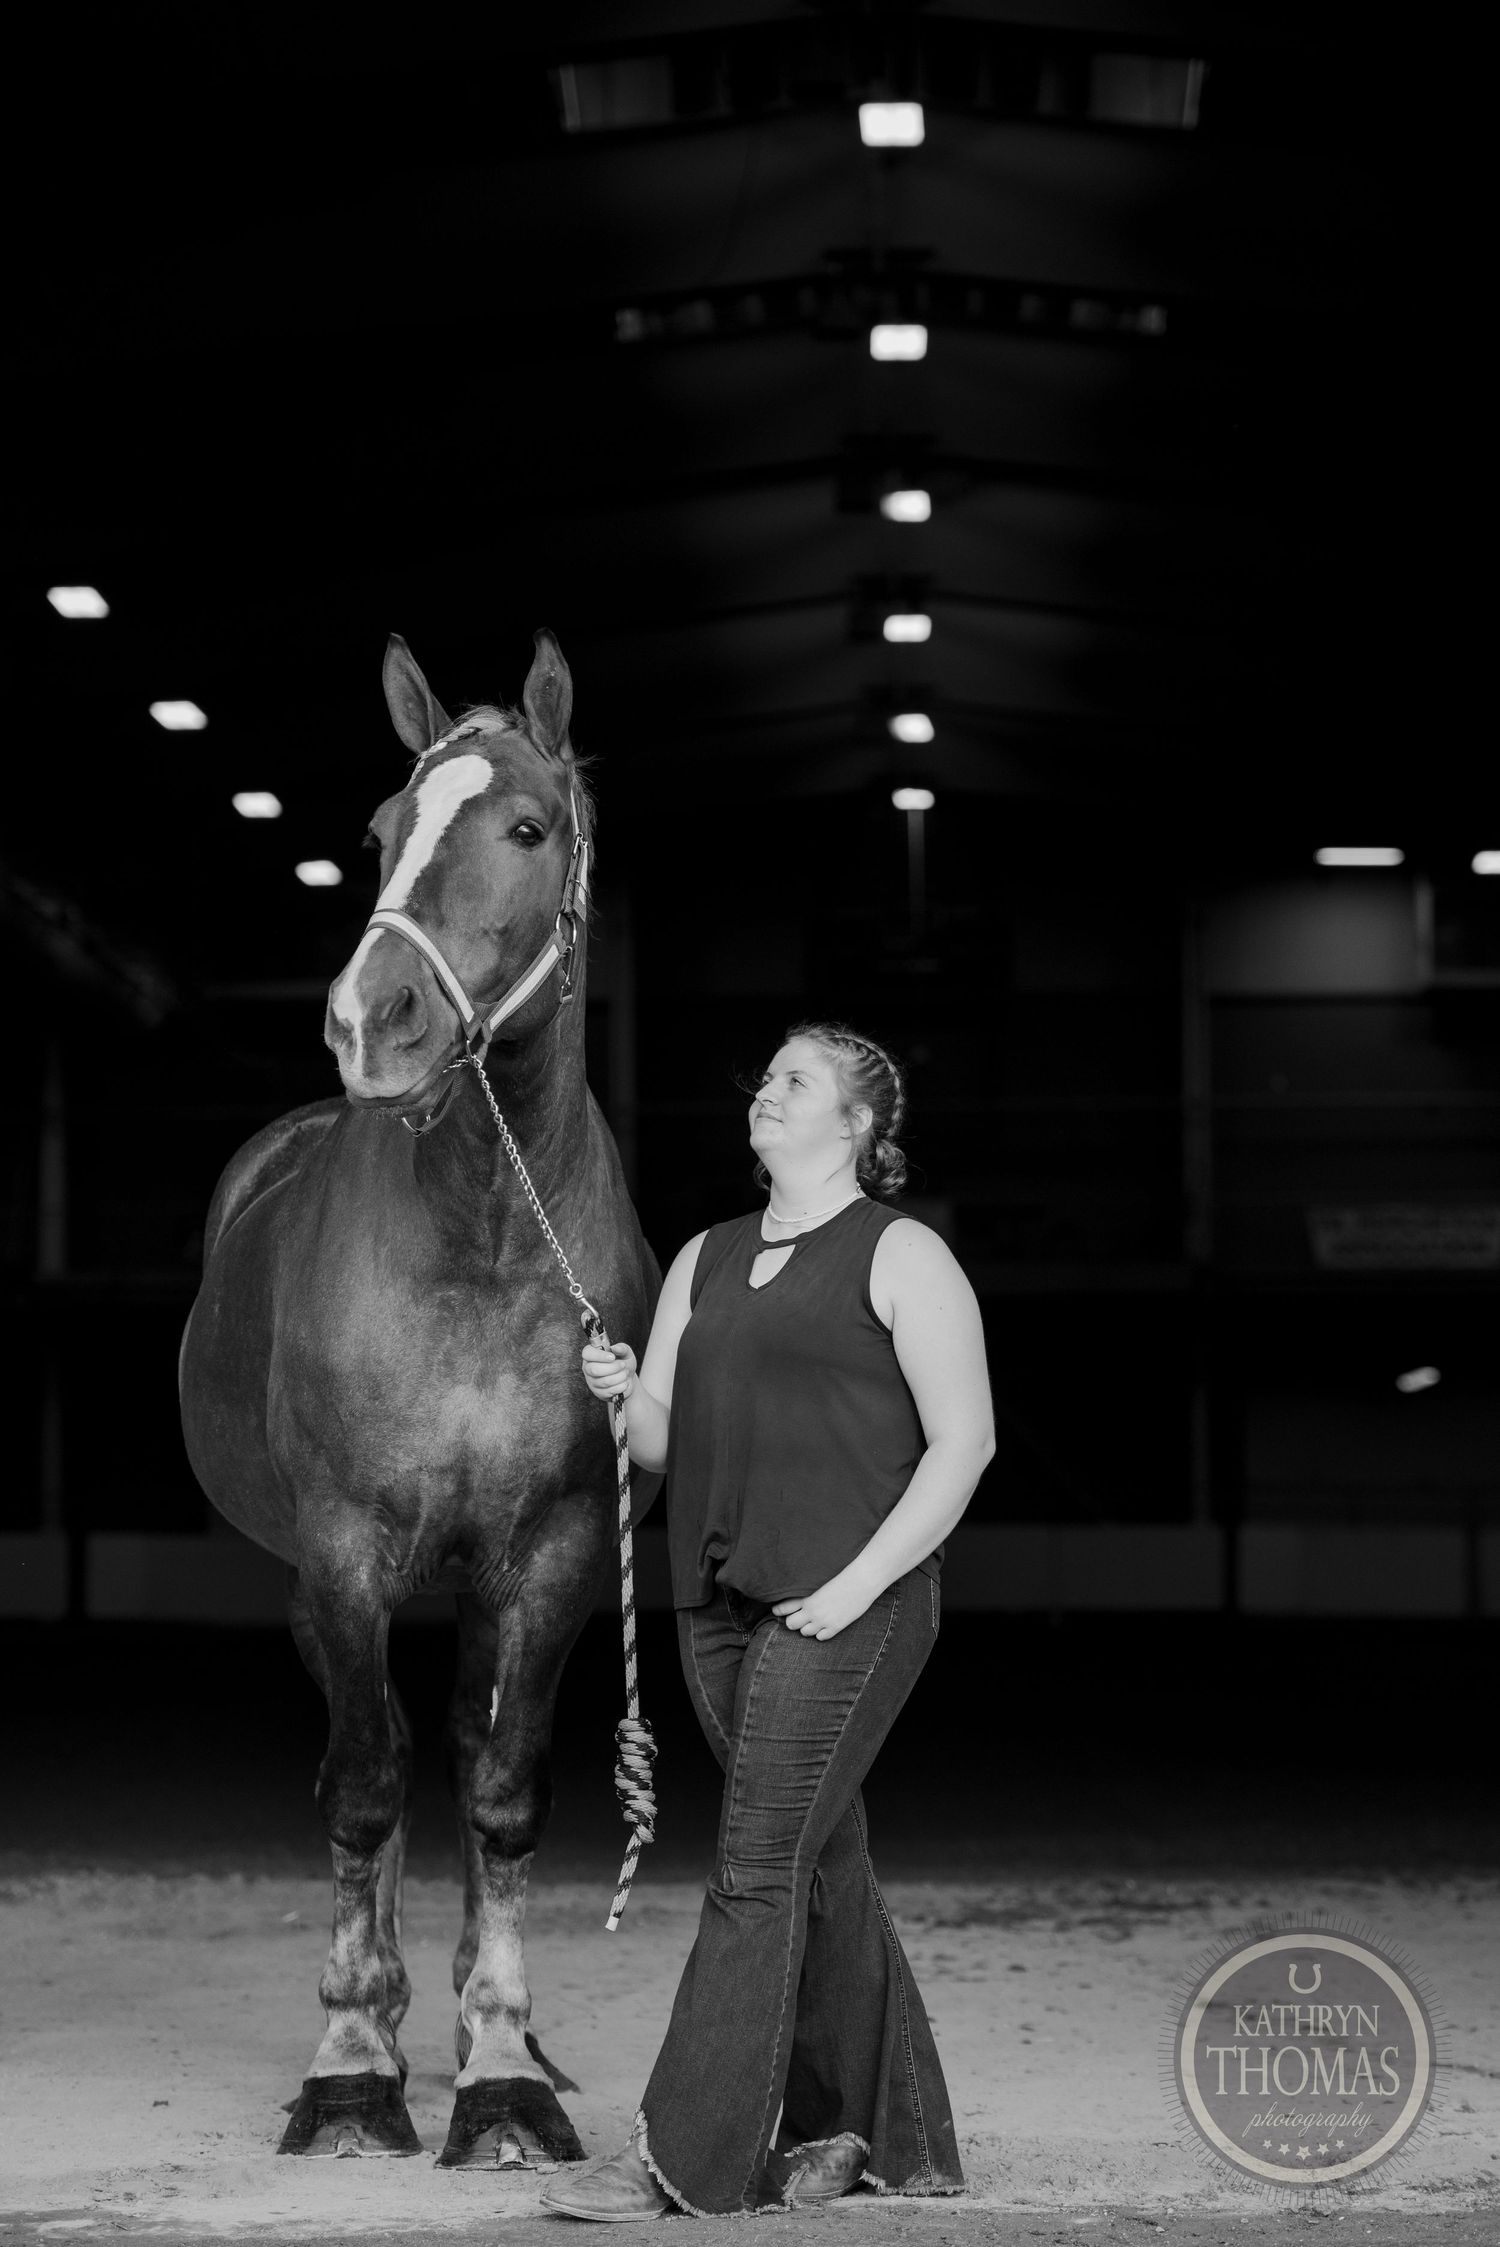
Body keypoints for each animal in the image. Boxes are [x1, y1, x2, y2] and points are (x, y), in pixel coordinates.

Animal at [179, 629, 660, 2165]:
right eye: (384, 831)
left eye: (528, 829)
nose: (368, 1021)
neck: (488, 1237)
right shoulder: (346, 1551)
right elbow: (364, 1791)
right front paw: (350, 2068)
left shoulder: (553, 1556)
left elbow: (500, 1795)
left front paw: (502, 2068)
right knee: (373, 1755)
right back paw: (380, 2024)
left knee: (446, 1744)